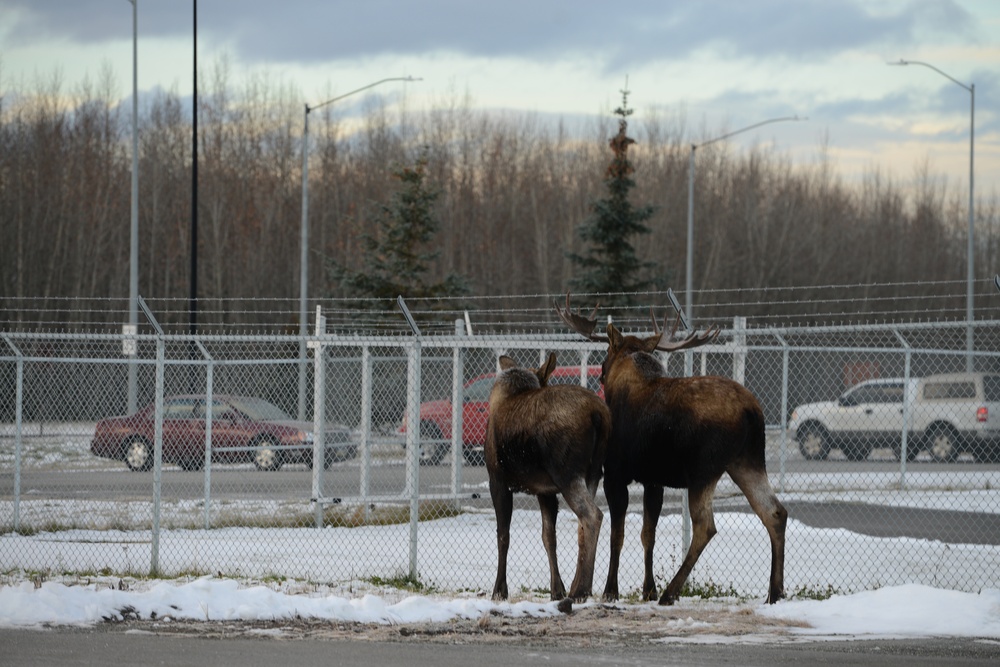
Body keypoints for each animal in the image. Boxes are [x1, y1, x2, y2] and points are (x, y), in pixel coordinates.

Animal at [484, 354, 608, 604]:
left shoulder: (498, 480)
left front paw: (499, 590)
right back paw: (576, 587)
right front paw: (556, 590)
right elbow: (549, 537)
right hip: (592, 474)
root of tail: (599, 415)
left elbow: (503, 535)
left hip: (566, 474)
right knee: (582, 523)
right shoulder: (545, 490)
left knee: (593, 515)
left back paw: (582, 590)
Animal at [560, 294, 784, 608]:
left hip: (704, 469)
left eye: (607, 351)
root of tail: (753, 413)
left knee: (705, 525)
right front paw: (647, 589)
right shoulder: (654, 480)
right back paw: (775, 591)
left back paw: (671, 591)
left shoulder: (615, 474)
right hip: (747, 462)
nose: (601, 373)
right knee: (774, 511)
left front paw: (612, 590)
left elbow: (618, 534)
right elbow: (648, 534)